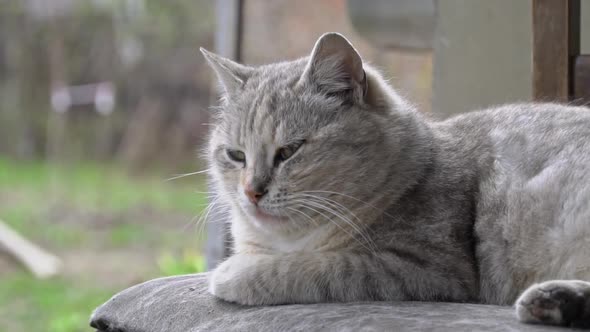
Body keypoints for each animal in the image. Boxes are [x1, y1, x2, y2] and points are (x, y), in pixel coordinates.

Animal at [200, 32, 590, 328]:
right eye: (236, 155)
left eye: (289, 151)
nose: (251, 191)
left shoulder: (421, 267)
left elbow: (311, 267)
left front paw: (232, 273)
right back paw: (555, 302)